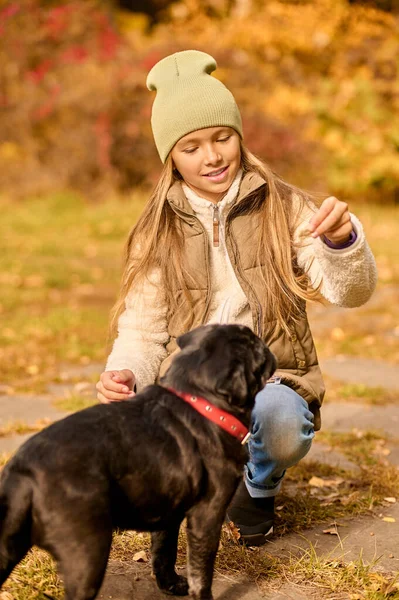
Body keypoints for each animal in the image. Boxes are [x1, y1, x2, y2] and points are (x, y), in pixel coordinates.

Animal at [0, 326, 276, 600]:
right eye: (254, 348)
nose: (265, 345)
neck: (201, 400)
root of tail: (24, 472)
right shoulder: (207, 514)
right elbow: (201, 572)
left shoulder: (169, 513)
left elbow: (164, 552)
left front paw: (171, 585)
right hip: (88, 553)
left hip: (9, 544)